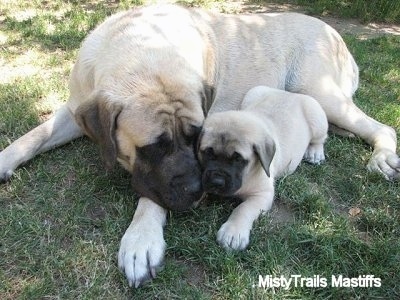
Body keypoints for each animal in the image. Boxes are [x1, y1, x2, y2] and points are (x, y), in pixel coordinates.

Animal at [199, 86, 328, 251]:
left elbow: (243, 209)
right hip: (253, 92)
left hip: (318, 120)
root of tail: (291, 93)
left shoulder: (262, 195)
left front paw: (233, 232)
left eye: (238, 159)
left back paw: (315, 152)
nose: (217, 182)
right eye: (208, 153)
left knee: (320, 139)